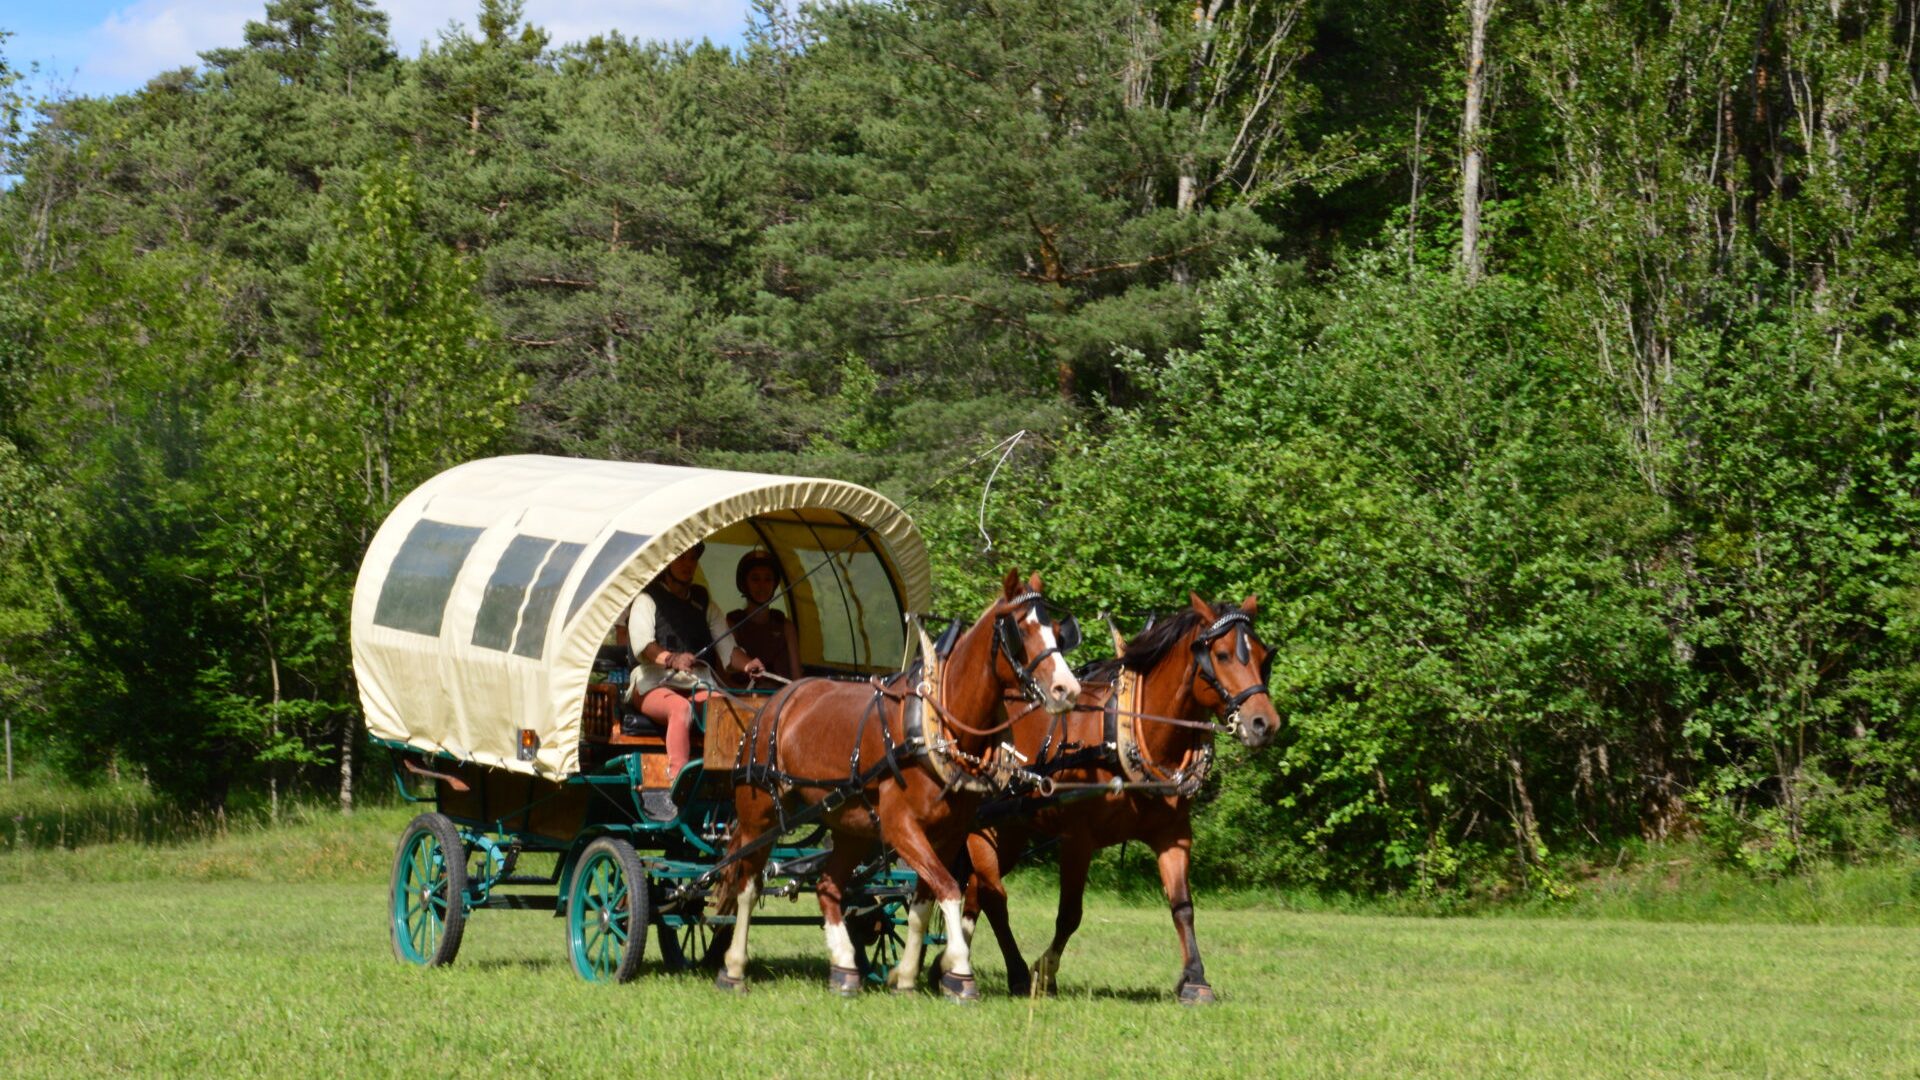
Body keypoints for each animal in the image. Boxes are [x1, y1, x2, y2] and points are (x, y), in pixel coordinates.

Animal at [718, 568, 1090, 999]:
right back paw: (733, 968)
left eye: (1058, 632)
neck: (937, 725)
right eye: (1021, 630)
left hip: (852, 824)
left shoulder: (949, 833)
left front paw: (907, 975)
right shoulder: (902, 827)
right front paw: (959, 971)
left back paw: (844, 967)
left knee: (828, 885)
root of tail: (776, 699)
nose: (1068, 690)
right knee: (747, 884)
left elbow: (925, 900)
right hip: (758, 813)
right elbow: (949, 889)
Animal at [960, 588, 1274, 999]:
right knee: (992, 896)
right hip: (981, 827)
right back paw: (1009, 973)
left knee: (974, 892)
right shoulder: (1076, 838)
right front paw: (1044, 971)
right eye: (1221, 655)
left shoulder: (1172, 833)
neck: (1126, 731)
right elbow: (1070, 914)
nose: (1264, 723)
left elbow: (1183, 906)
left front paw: (1195, 979)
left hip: (1011, 830)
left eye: (1264, 657)